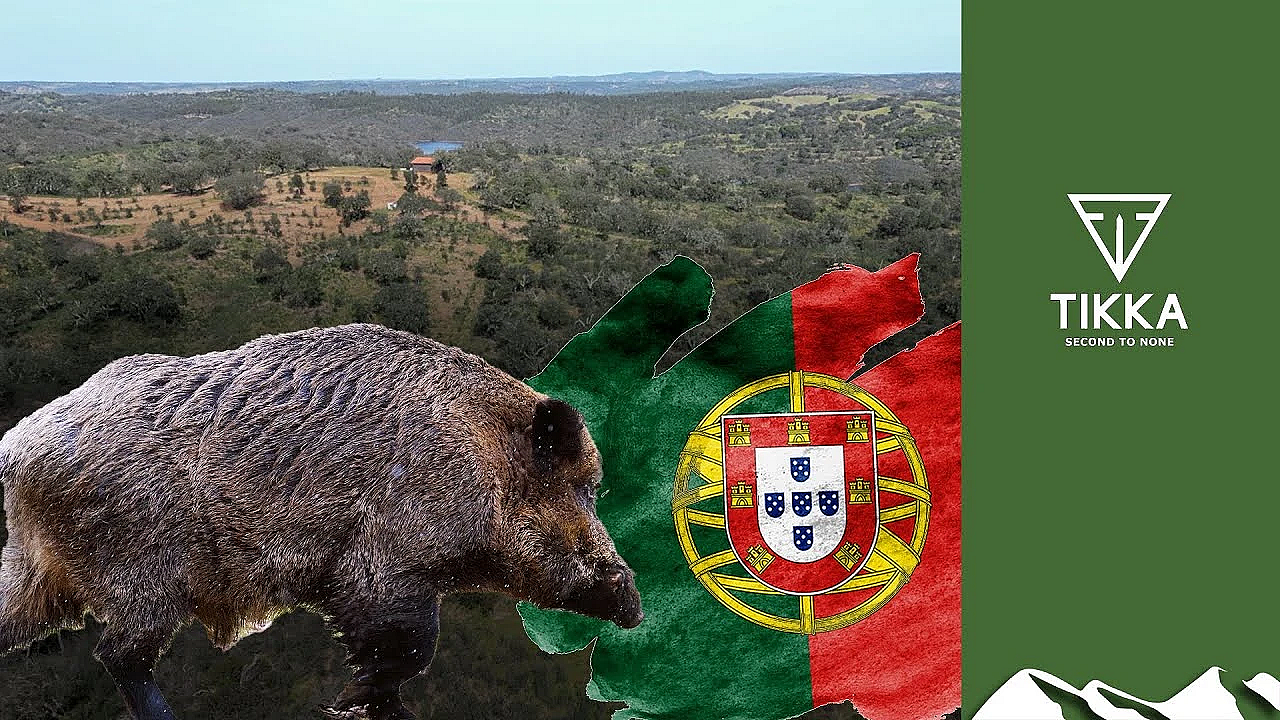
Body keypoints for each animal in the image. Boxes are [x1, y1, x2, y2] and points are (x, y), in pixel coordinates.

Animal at [0, 323, 643, 720]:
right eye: (580, 490)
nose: (634, 601)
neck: (480, 456)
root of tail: (16, 446)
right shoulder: (380, 566)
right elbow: (410, 647)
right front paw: (350, 702)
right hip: (141, 574)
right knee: (118, 654)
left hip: (45, 575)